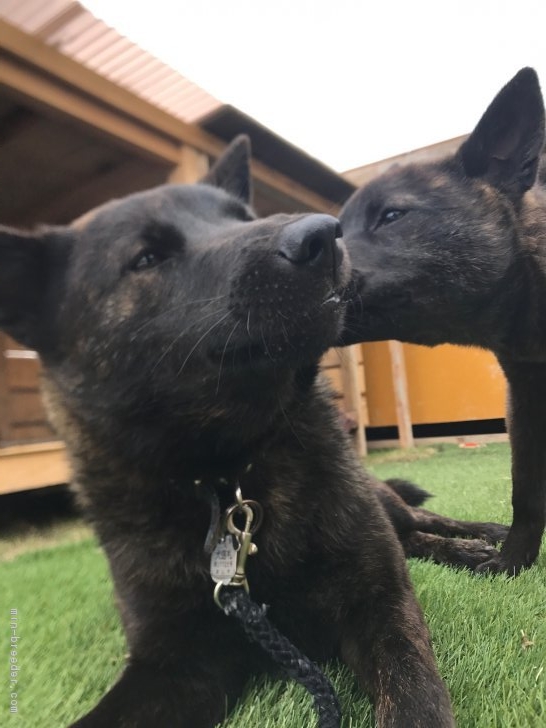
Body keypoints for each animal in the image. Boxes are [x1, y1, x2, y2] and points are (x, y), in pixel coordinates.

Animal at [0, 138, 450, 728]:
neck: (228, 472)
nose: (322, 235)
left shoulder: (379, 600)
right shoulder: (173, 667)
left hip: (388, 510)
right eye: (146, 258)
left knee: (431, 525)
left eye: (242, 218)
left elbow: (413, 693)